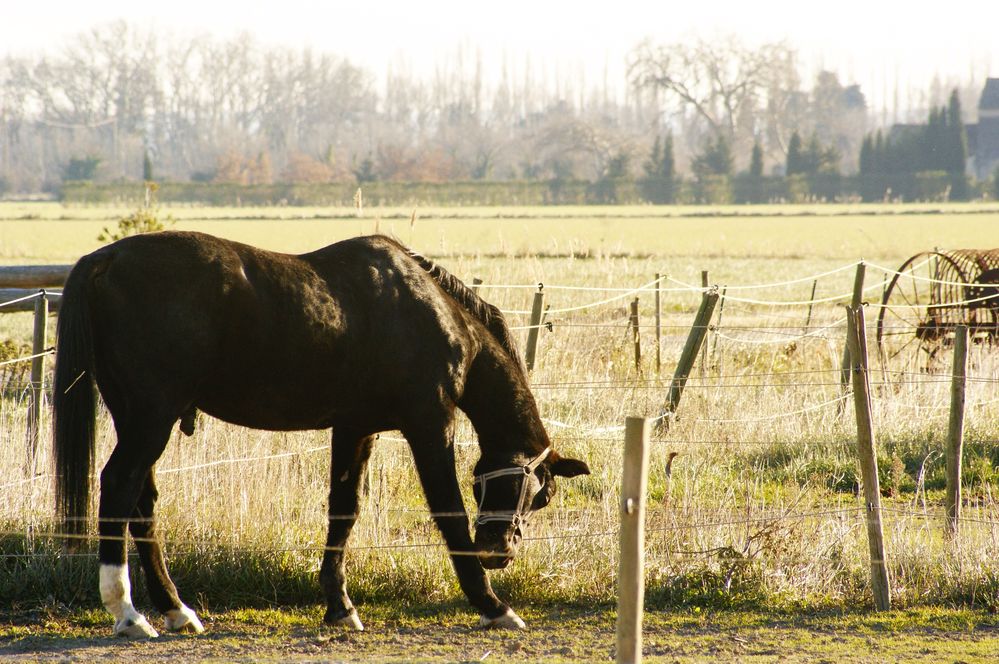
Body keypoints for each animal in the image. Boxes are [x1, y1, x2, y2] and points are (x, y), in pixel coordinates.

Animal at [52, 232, 584, 640]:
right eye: (539, 495)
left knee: (142, 503)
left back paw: (176, 610)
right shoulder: (430, 426)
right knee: (119, 487)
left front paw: (340, 607)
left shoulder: (355, 429)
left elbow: (343, 511)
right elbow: (448, 512)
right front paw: (493, 606)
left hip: (139, 419)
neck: (432, 312)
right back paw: (127, 613)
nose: (499, 550)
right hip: (150, 419)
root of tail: (107, 258)